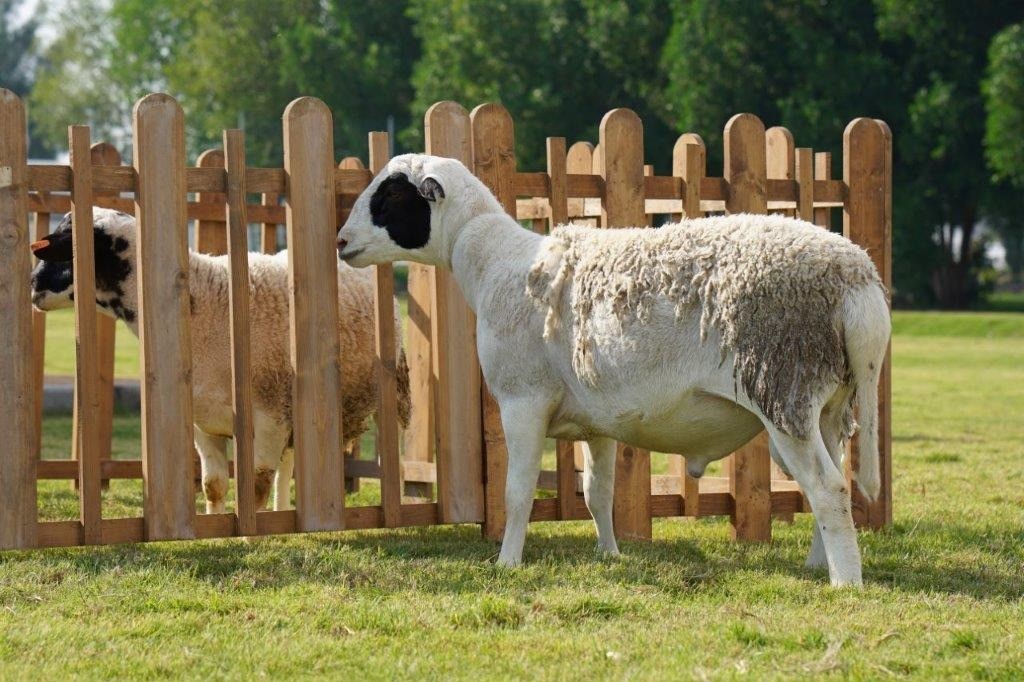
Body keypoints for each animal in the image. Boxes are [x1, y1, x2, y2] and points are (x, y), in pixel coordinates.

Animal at [31, 207, 411, 514]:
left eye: (67, 247)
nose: (33, 285)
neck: (204, 305)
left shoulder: (269, 419)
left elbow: (256, 485)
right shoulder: (205, 422)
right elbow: (213, 485)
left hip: (386, 393)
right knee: (290, 465)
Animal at [336, 154, 890, 587]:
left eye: (390, 196)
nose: (340, 242)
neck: (493, 262)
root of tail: (858, 281)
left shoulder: (522, 401)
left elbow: (517, 493)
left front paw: (508, 563)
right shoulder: (596, 422)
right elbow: (597, 494)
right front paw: (609, 554)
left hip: (781, 387)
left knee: (829, 489)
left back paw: (845, 582)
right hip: (827, 403)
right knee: (830, 481)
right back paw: (818, 565)